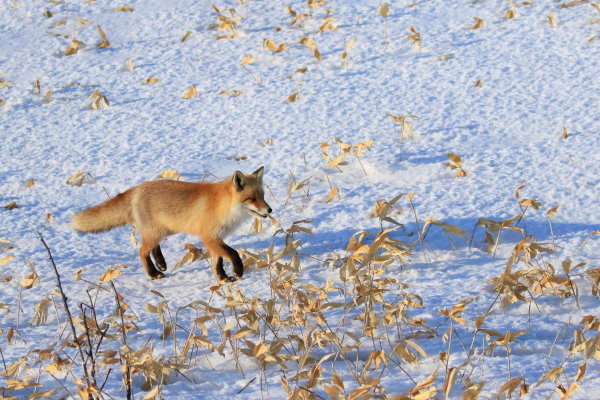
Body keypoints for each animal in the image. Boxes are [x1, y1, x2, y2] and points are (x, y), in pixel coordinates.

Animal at [71, 167, 274, 282]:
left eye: (263, 196)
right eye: (252, 198)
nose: (270, 210)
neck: (223, 205)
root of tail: (137, 188)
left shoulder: (216, 239)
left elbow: (218, 261)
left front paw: (223, 278)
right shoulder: (209, 237)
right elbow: (233, 254)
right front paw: (238, 271)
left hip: (163, 231)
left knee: (152, 248)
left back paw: (161, 264)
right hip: (156, 233)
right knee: (142, 251)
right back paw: (153, 273)